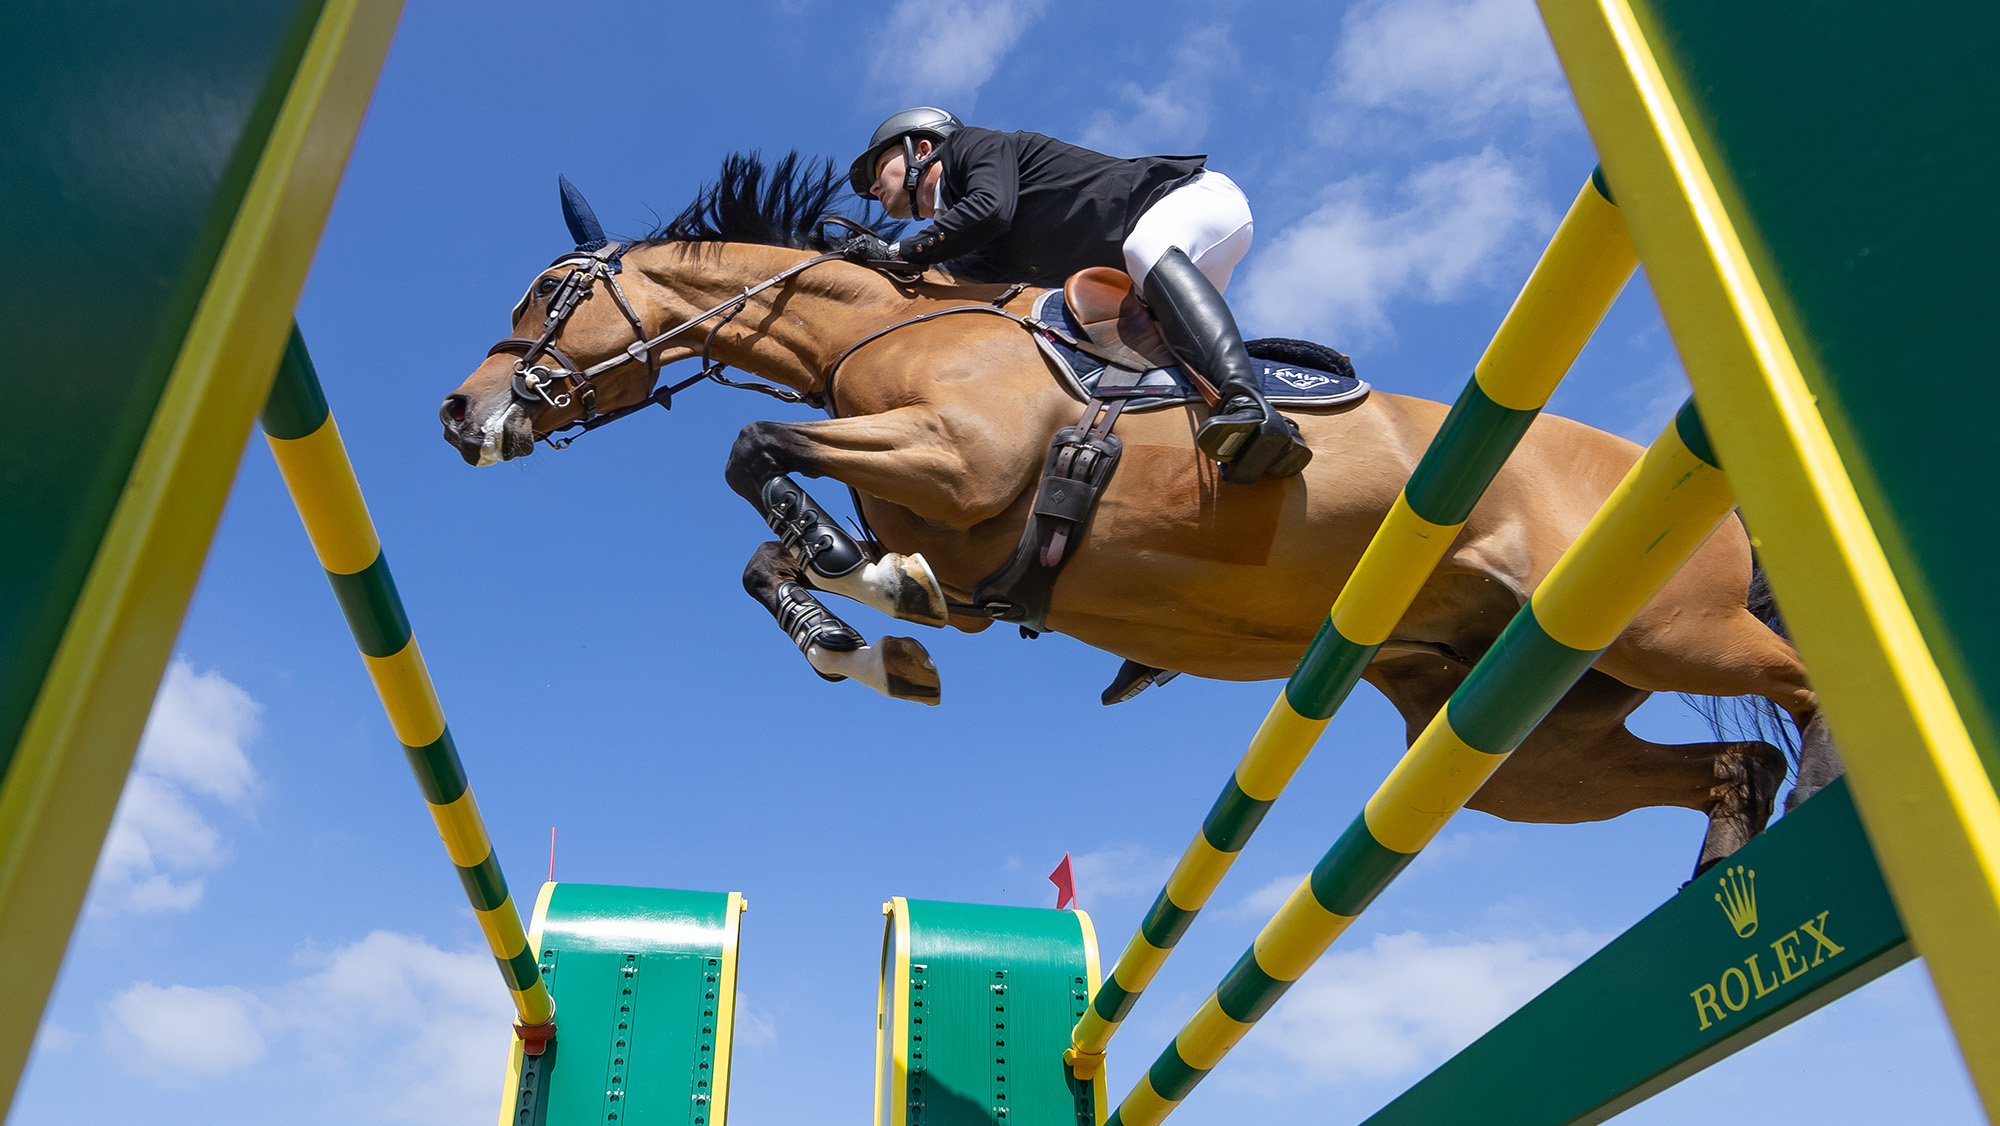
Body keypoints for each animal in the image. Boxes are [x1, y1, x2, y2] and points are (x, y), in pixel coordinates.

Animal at [438, 154, 1839, 875]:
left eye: (552, 291)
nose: (461, 412)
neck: (874, 329)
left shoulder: (961, 463)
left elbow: (750, 453)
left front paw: (865, 591)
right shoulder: (943, 518)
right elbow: (764, 553)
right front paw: (867, 642)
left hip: (1673, 626)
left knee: (1800, 686)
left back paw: (1834, 787)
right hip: (1518, 728)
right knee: (1731, 763)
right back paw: (1726, 869)